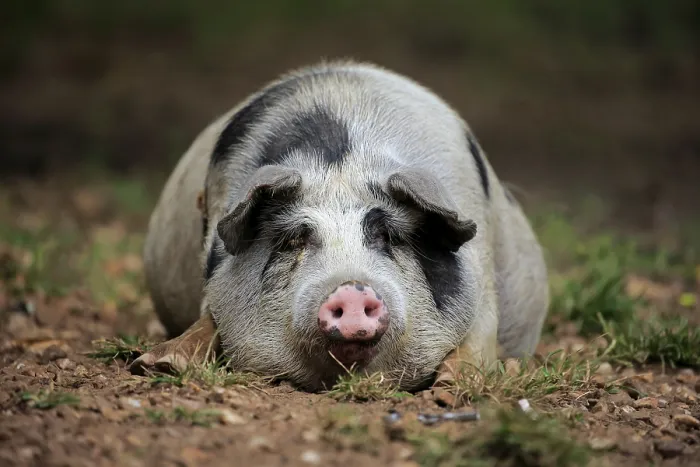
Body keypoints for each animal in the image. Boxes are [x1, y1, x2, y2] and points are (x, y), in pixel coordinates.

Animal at [129, 60, 550, 392]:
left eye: (387, 235)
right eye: (294, 239)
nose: (350, 288)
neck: (342, 164)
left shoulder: (481, 272)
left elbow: (481, 332)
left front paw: (450, 385)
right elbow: (208, 319)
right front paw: (154, 365)